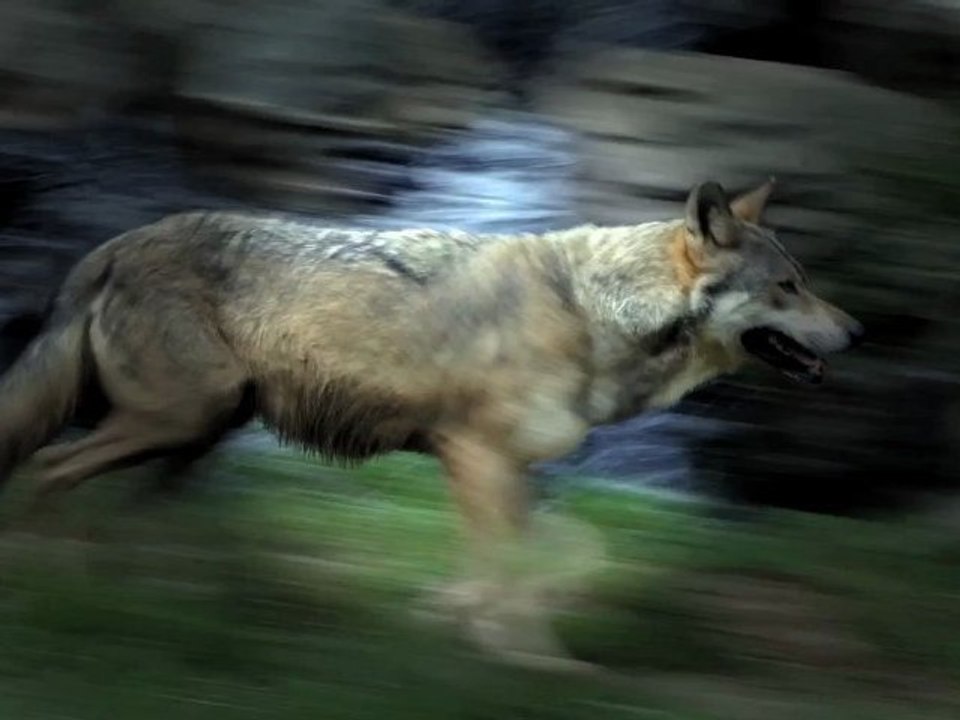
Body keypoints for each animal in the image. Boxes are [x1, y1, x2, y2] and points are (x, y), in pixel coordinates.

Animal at [0, 178, 862, 668]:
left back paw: (145, 600)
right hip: (183, 419)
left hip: (200, 431)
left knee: (125, 513)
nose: (857, 332)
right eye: (788, 286)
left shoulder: (501, 469)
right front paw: (531, 661)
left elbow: (541, 558)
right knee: (50, 470)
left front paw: (460, 625)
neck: (593, 311)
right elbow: (516, 570)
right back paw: (54, 584)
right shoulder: (479, 456)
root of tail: (109, 248)